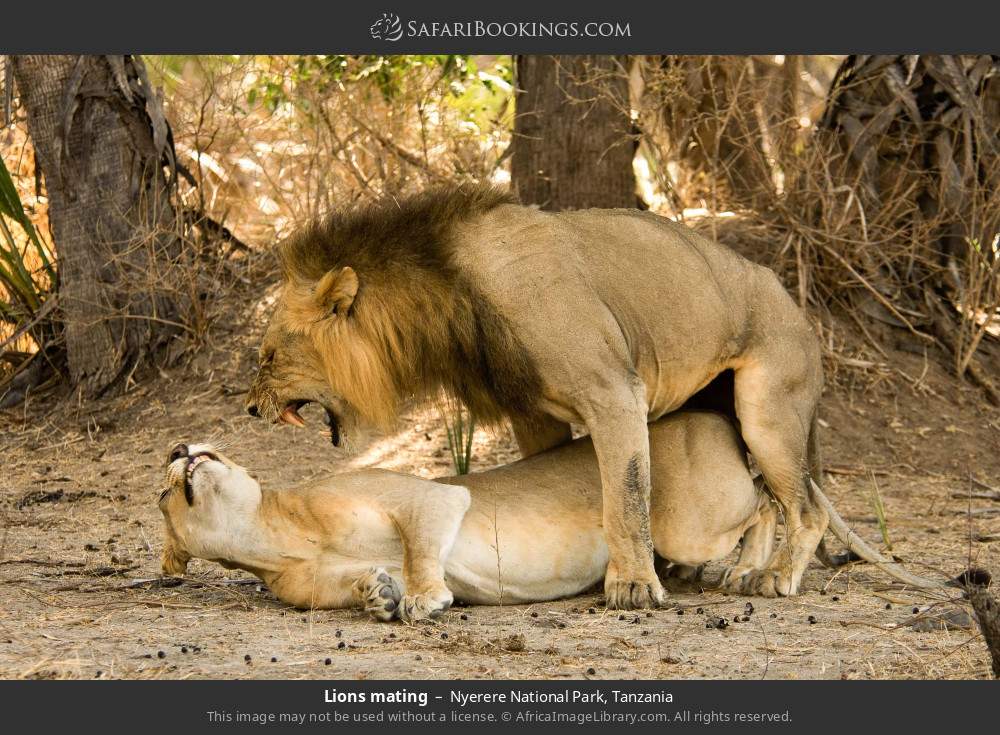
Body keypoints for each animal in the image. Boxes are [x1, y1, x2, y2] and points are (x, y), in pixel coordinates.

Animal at [159, 412, 939, 621]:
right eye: (165, 490)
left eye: (210, 447)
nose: (178, 448)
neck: (273, 534)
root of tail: (712, 411)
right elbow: (363, 581)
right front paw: (379, 595)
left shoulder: (433, 498)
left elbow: (420, 547)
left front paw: (422, 597)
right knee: (767, 501)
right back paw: (738, 573)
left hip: (687, 517)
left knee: (774, 500)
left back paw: (760, 574)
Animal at [245, 186, 828, 608]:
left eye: (269, 356)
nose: (251, 409)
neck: (449, 297)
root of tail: (794, 303)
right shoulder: (532, 412)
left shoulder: (614, 391)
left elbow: (626, 497)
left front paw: (634, 587)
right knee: (777, 497)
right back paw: (739, 570)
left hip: (766, 412)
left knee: (804, 506)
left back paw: (773, 578)